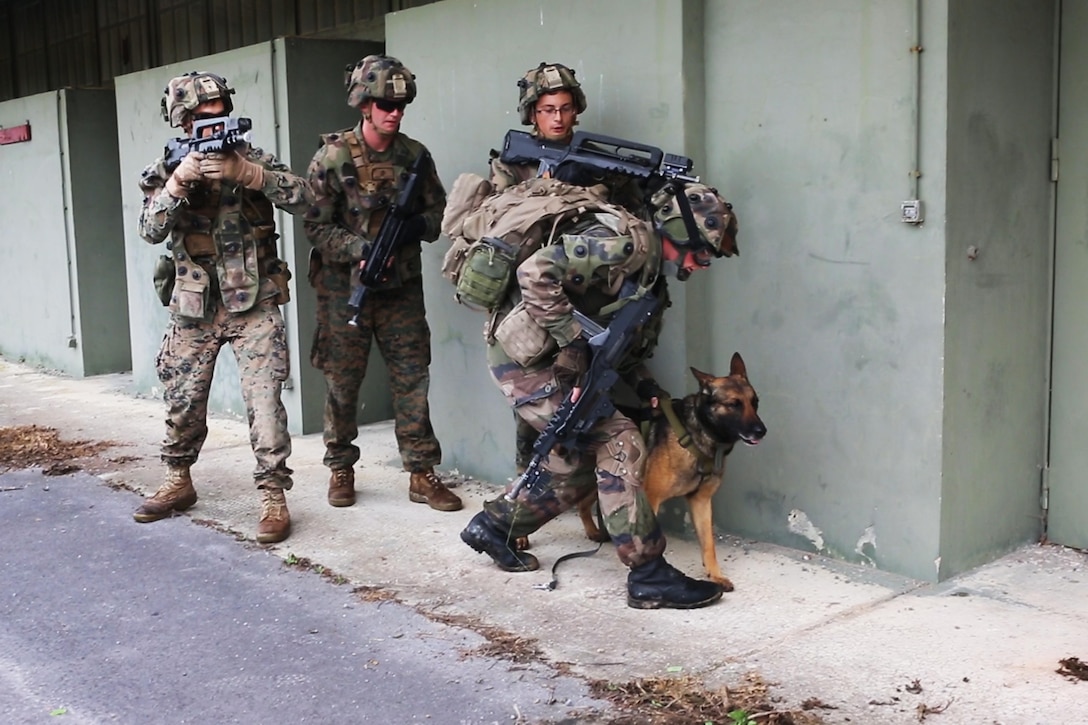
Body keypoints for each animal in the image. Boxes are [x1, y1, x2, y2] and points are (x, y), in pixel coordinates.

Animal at [544, 352, 765, 592]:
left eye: (755, 402)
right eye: (734, 404)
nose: (762, 431)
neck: (697, 433)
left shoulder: (701, 501)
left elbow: (709, 545)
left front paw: (715, 575)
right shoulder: (652, 498)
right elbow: (648, 539)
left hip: (602, 480)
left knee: (583, 504)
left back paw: (593, 531)